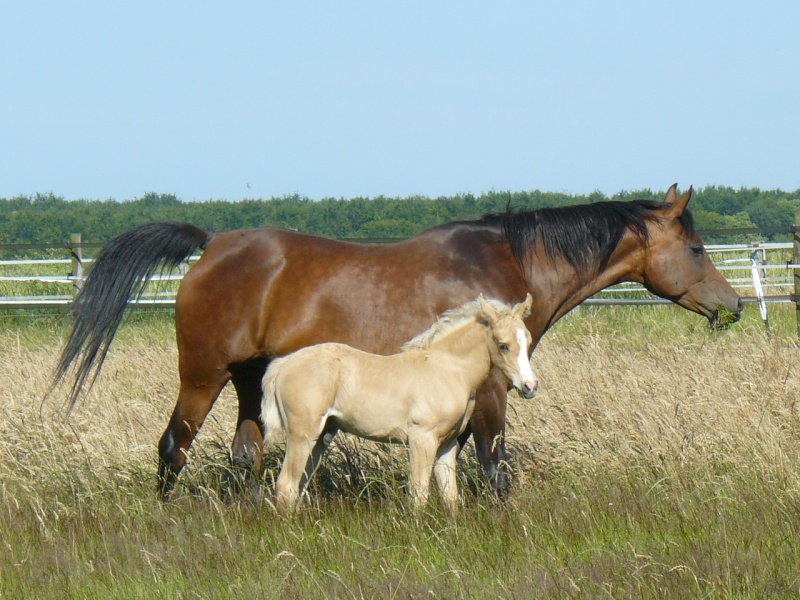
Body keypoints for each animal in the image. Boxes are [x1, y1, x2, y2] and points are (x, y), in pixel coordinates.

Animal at [262, 294, 536, 510]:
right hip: (302, 434)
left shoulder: (447, 444)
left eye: (529, 341)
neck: (446, 368)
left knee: (299, 484)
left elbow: (450, 497)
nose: (530, 387)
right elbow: (419, 494)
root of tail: (284, 364)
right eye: (503, 345)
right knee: (286, 485)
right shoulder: (422, 438)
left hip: (321, 436)